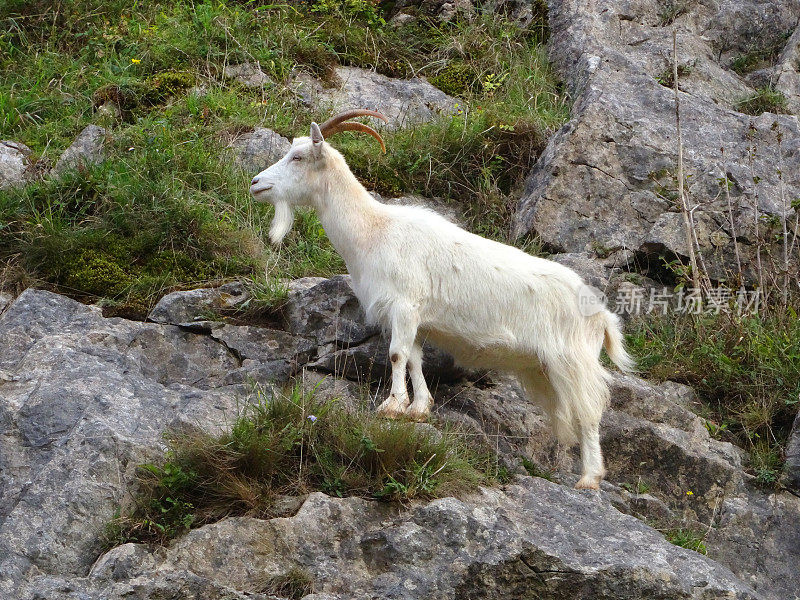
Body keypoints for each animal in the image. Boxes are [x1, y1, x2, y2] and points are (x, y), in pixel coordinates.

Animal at [247, 111, 636, 488]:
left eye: (298, 157)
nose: (255, 183)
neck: (373, 231)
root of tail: (602, 315)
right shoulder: (415, 319)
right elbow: (415, 358)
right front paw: (419, 408)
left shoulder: (404, 304)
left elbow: (396, 354)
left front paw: (392, 406)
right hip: (544, 369)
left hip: (573, 361)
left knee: (590, 412)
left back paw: (589, 478)